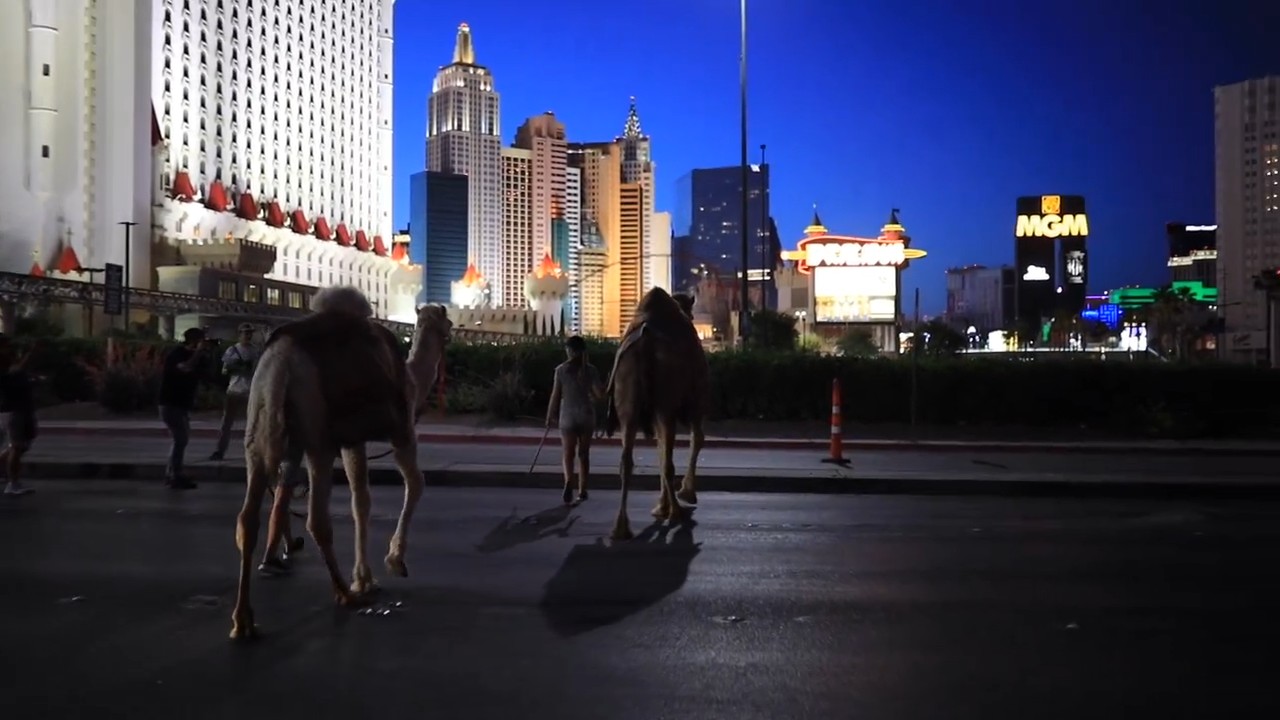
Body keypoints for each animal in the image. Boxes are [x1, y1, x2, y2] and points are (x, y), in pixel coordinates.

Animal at [227, 286, 453, 638]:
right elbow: (415, 484)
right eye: (446, 320)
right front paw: (393, 563)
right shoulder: (401, 430)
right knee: (317, 518)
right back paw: (344, 594)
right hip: (318, 434)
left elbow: (360, 500)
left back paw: (243, 621)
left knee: (248, 516)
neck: (413, 381)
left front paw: (365, 578)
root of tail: (281, 360)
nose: (451, 328)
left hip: (260, 427)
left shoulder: (351, 440)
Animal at [601, 285, 711, 538]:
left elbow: (660, 449)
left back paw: (621, 528)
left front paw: (662, 506)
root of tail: (646, 343)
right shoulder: (696, 400)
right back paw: (677, 512)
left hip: (628, 401)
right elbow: (697, 439)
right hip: (666, 402)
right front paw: (686, 494)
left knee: (627, 459)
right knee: (669, 459)